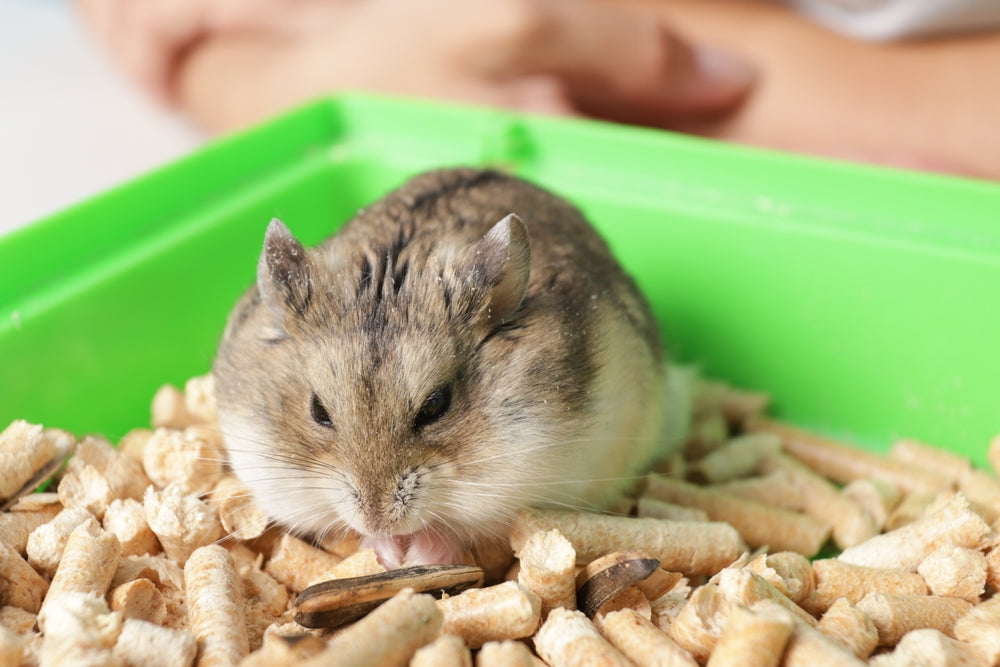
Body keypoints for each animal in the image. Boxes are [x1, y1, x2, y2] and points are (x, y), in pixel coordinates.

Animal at [213, 168, 690, 568]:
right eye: (317, 410)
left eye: (436, 405)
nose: (379, 520)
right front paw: (387, 550)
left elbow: (460, 530)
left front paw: (418, 552)